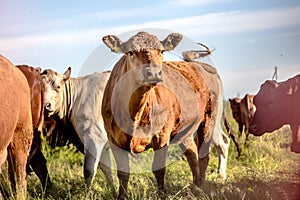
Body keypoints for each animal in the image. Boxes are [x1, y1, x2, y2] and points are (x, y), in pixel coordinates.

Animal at [101, 30, 218, 198]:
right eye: (131, 52)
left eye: (161, 51)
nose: (154, 72)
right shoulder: (113, 139)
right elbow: (123, 173)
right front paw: (122, 197)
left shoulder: (162, 137)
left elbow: (159, 169)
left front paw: (162, 194)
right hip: (184, 130)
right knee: (192, 152)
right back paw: (197, 184)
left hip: (209, 119)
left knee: (204, 156)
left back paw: (202, 187)